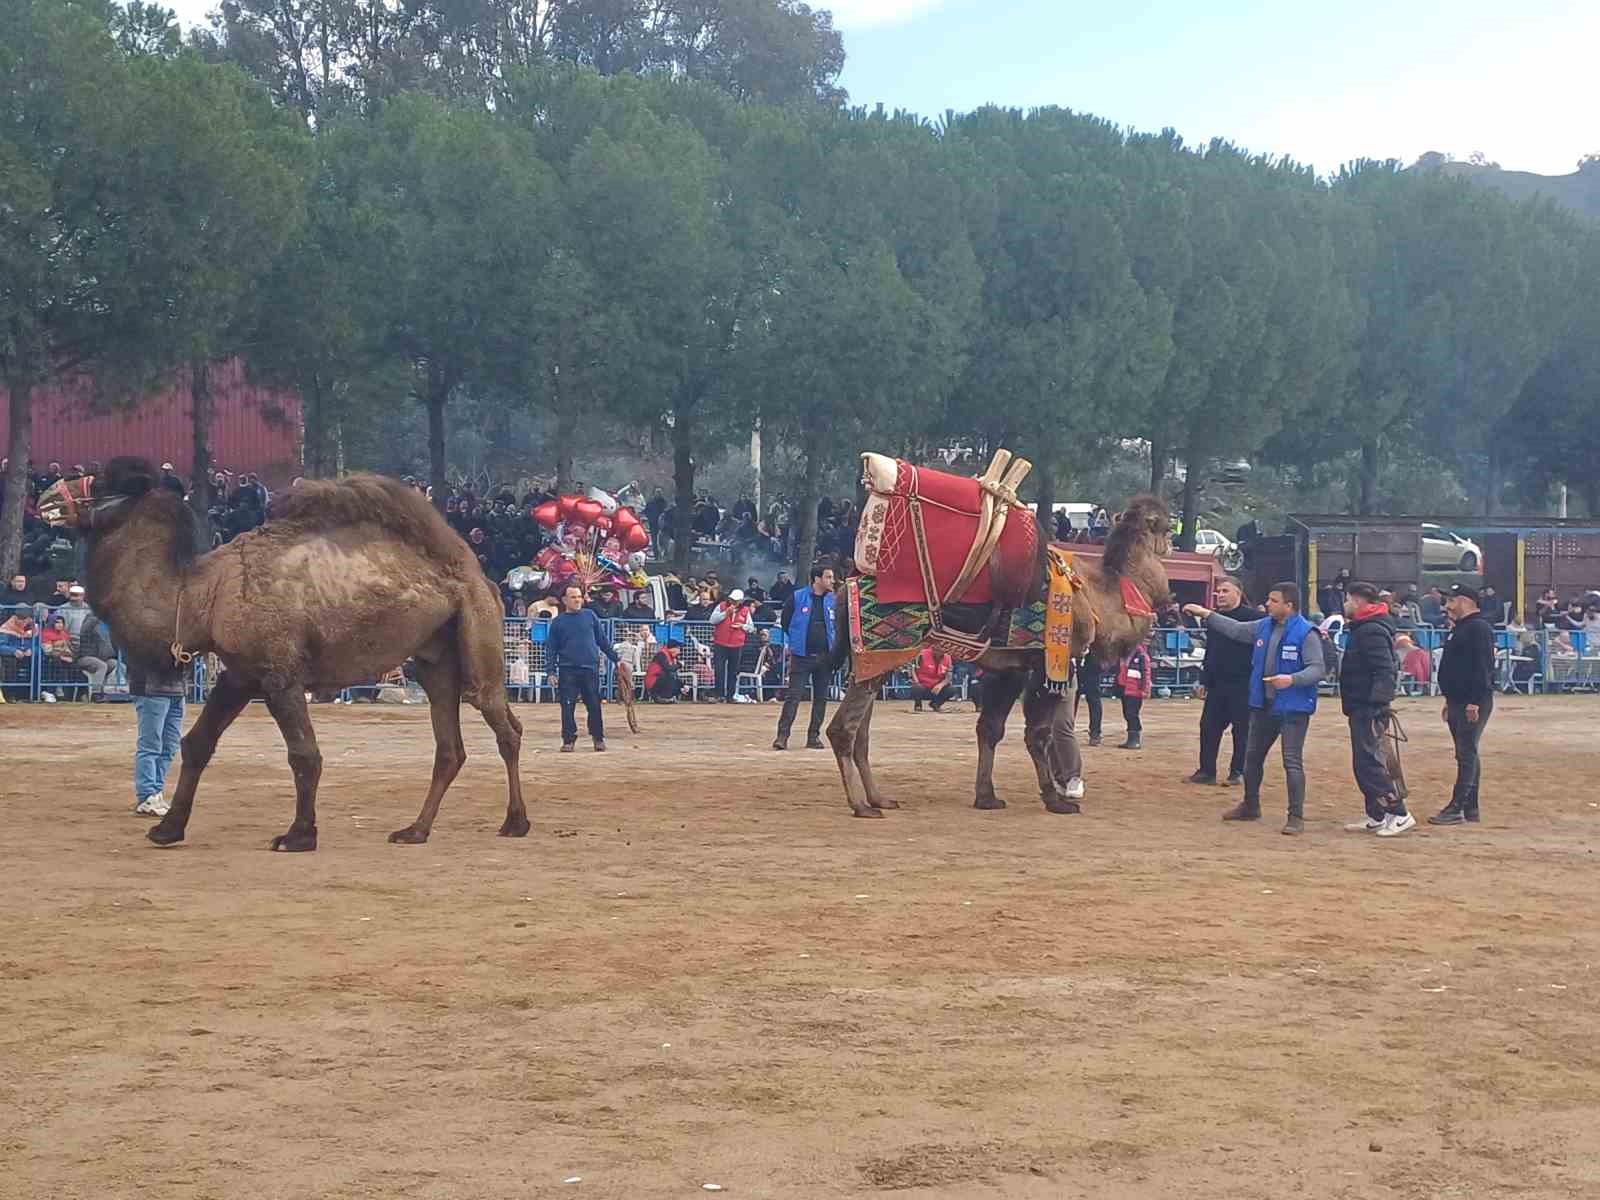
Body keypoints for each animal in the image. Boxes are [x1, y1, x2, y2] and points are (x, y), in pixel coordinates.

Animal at [40, 454, 528, 857]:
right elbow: (197, 743)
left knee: (504, 724)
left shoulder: (279, 674)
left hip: (478, 631)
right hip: (434, 657)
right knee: (450, 747)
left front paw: (298, 835)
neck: (198, 597)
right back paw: (414, 830)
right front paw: (167, 830)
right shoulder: (239, 674)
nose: (46, 498)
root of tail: (478, 574)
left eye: (102, 480)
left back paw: (515, 822)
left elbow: (304, 754)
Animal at [832, 451, 1171, 819]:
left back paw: (879, 798)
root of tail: (846, 587)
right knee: (843, 729)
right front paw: (1055, 800)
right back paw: (861, 805)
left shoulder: (1008, 668)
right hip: (881, 649)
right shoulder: (1047, 663)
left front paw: (986, 796)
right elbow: (1038, 734)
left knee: (862, 732)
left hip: (874, 659)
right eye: (1166, 526)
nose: (1170, 544)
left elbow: (989, 729)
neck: (1099, 597)